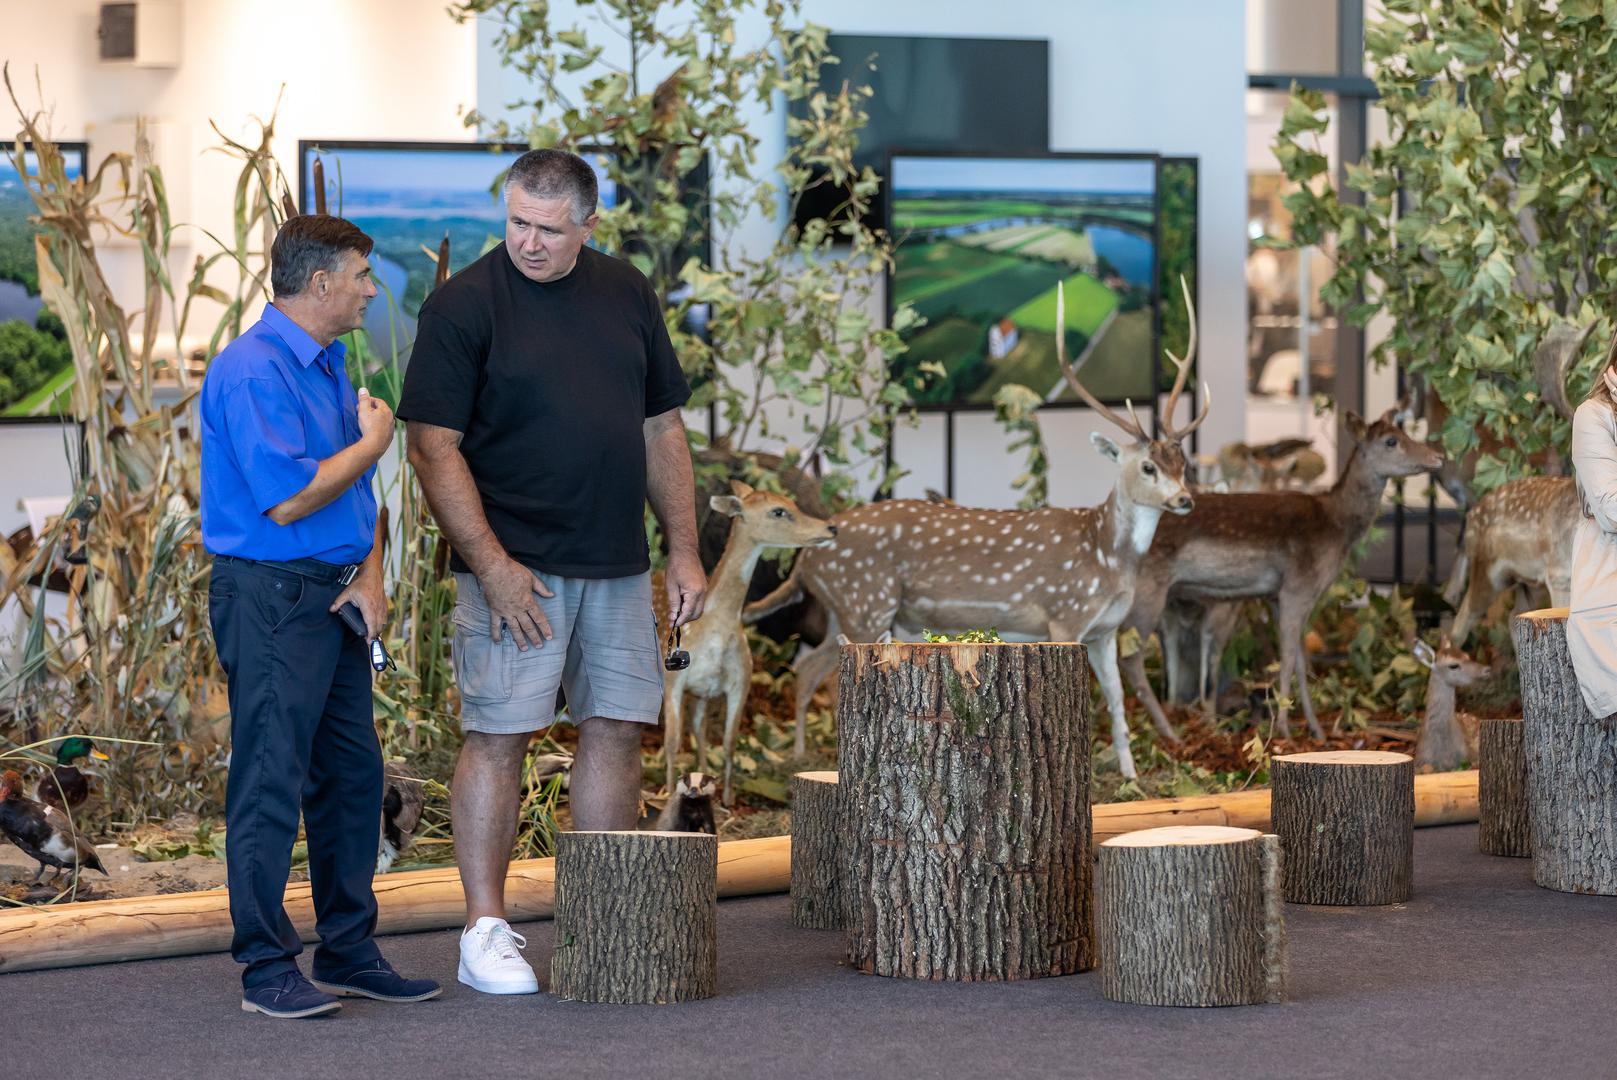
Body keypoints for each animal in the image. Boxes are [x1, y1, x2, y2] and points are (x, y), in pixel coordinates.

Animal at [656, 478, 834, 801]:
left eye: (792, 502)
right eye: (778, 511)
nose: (830, 527)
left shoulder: (741, 679)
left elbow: (728, 741)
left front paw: (727, 798)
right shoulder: (673, 680)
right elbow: (672, 740)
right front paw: (668, 792)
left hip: (702, 693)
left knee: (699, 727)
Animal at [743, 278, 1203, 776]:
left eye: (1182, 462)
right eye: (1147, 467)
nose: (1185, 499)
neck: (1105, 554)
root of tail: (807, 555)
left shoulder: (1105, 629)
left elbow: (1117, 704)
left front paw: (1131, 776)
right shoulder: (1065, 613)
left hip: (842, 608)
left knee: (806, 668)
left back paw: (798, 755)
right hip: (865, 601)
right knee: (824, 674)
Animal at [1118, 404, 1448, 743]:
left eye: (1404, 432)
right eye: (1390, 441)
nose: (1438, 456)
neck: (1336, 528)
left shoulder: (1278, 595)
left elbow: (1300, 660)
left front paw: (1316, 730)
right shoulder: (1298, 587)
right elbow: (1288, 658)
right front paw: (1285, 731)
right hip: (1148, 590)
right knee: (1129, 657)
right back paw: (1170, 733)